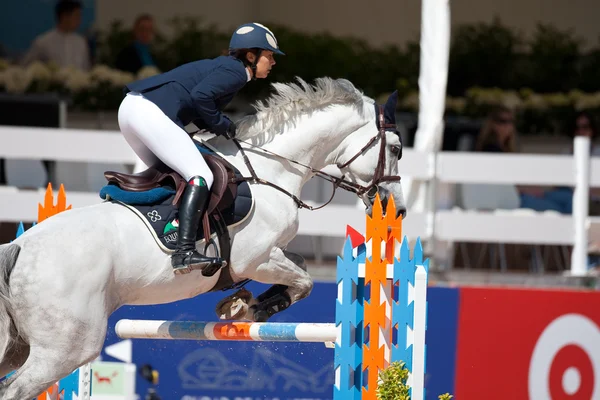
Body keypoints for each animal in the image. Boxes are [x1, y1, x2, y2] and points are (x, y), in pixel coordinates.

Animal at [0, 76, 408, 398]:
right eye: (396, 149)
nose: (398, 210)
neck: (271, 168)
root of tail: (19, 249)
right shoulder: (255, 258)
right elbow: (304, 281)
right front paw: (250, 309)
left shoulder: (268, 256)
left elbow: (300, 267)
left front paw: (240, 305)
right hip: (65, 348)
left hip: (20, 346)